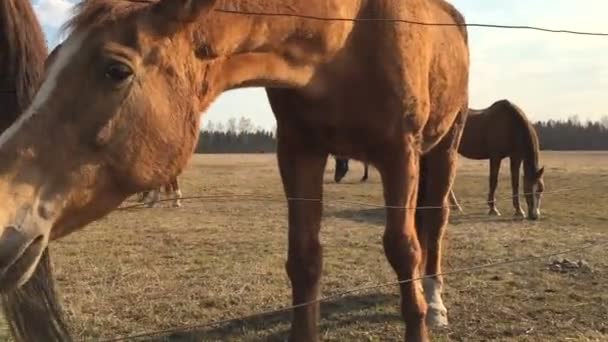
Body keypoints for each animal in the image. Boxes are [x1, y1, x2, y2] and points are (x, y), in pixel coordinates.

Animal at [0, 1, 470, 340]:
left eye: (116, 70)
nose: (4, 221)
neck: (346, 38)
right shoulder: (298, 152)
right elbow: (305, 260)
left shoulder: (398, 153)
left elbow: (403, 249)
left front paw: (421, 313)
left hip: (442, 147)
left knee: (434, 223)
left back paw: (436, 302)